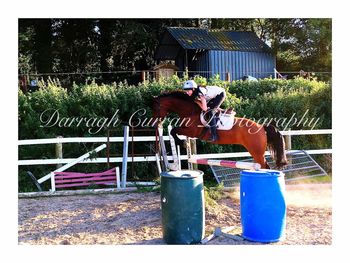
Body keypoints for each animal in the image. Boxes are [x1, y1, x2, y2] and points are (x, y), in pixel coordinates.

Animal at [151, 91, 288, 169]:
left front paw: (183, 143)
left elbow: (173, 131)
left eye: (155, 108)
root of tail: (261, 127)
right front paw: (185, 143)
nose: (154, 124)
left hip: (257, 152)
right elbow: (174, 131)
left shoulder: (192, 131)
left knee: (265, 166)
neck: (191, 111)